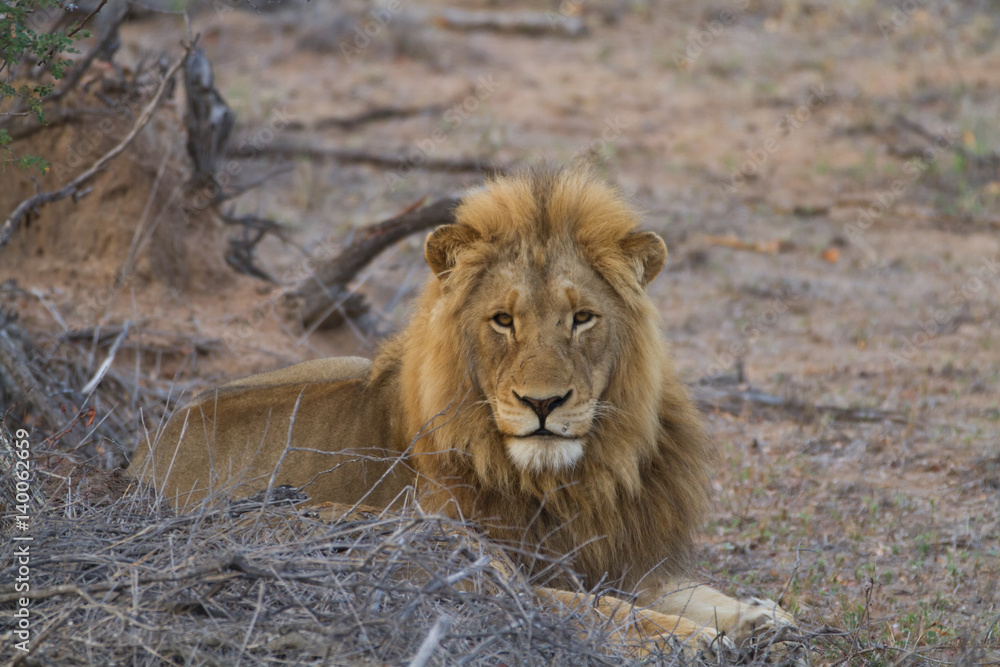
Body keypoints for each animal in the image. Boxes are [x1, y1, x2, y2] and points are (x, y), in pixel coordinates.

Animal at [131, 166, 803, 659]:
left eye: (582, 318)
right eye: (502, 320)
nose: (542, 403)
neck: (567, 482)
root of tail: (135, 463)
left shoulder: (617, 553)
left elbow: (673, 587)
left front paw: (756, 613)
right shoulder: (504, 562)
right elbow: (596, 606)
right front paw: (699, 634)